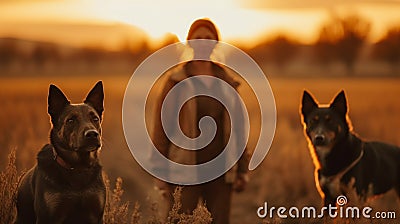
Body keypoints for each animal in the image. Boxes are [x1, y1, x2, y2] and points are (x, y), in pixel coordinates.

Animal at [16, 81, 106, 223]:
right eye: (71, 120)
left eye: (95, 119)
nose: (92, 134)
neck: (77, 168)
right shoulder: (47, 216)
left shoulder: (96, 215)